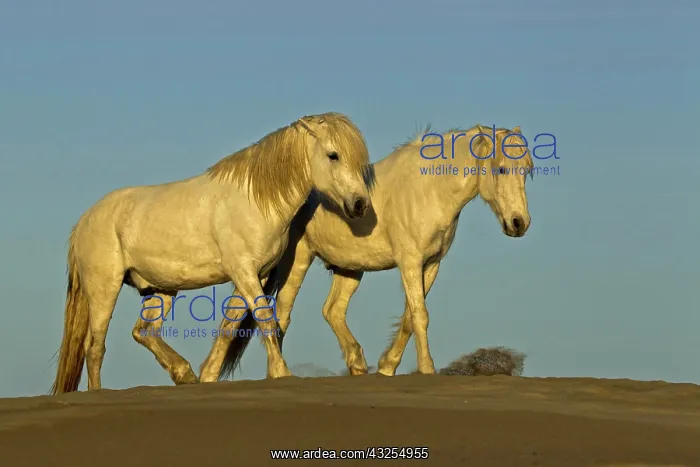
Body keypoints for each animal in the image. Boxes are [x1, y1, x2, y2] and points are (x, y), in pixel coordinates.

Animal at [50, 112, 372, 394]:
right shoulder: (243, 271)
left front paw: (209, 376)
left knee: (144, 331)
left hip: (160, 289)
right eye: (333, 155)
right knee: (95, 347)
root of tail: (84, 221)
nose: (359, 205)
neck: (255, 201)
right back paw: (98, 392)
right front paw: (282, 373)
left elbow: (230, 326)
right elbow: (265, 318)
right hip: (104, 288)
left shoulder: (255, 274)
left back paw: (185, 374)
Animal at [204, 123, 534, 380]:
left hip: (350, 268)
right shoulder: (409, 262)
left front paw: (387, 367)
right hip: (296, 263)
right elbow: (420, 315)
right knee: (282, 316)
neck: (429, 190)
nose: (520, 223)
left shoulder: (430, 265)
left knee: (332, 311)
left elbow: (409, 317)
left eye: (527, 171)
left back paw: (357, 363)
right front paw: (426, 368)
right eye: (501, 168)